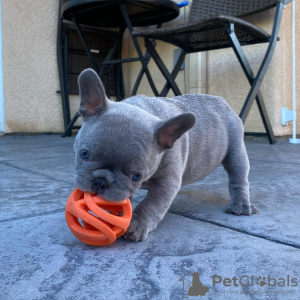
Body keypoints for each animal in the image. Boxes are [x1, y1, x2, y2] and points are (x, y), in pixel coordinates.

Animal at [74, 68, 258, 241]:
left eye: (136, 176)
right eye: (84, 153)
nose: (100, 182)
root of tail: (223, 103)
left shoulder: (166, 183)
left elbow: (152, 204)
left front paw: (137, 224)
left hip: (236, 150)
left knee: (238, 177)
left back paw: (240, 205)